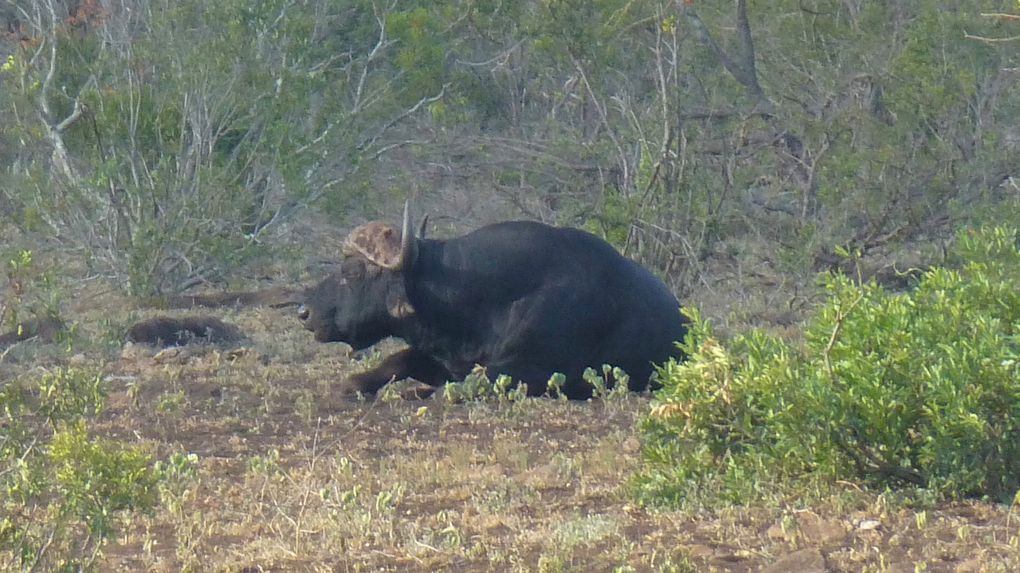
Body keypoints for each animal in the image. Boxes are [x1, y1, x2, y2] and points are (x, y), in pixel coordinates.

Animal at [297, 203, 689, 397]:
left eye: (352, 272)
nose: (304, 311)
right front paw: (355, 384)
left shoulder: (531, 371)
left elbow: (463, 386)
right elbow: (397, 360)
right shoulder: (449, 357)